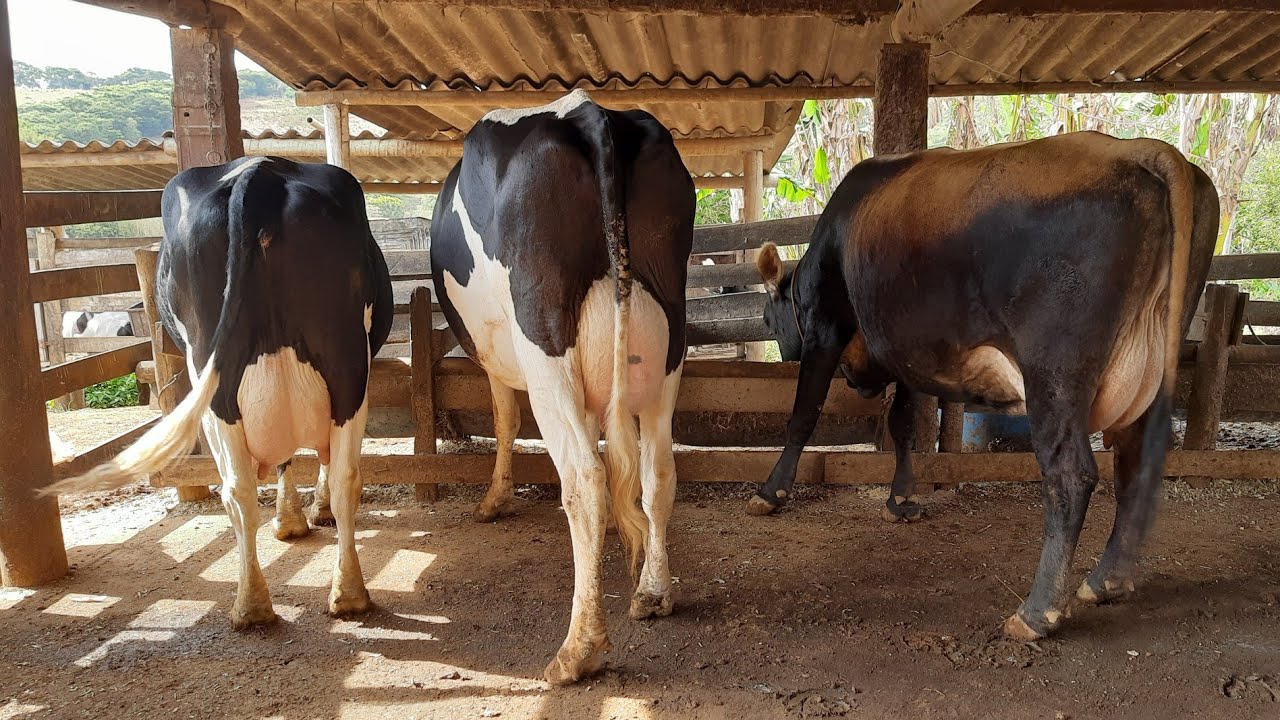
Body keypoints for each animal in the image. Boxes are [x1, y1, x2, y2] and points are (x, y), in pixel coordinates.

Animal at [46, 156, 394, 628]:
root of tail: (260, 173)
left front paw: (295, 517)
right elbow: (295, 459)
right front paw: (298, 517)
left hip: (242, 379)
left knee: (256, 487)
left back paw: (273, 602)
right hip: (337, 372)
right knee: (304, 482)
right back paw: (311, 598)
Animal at [430, 89, 694, 684]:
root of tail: (588, 113)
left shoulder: (499, 358)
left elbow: (504, 418)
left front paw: (494, 498)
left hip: (543, 339)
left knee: (585, 478)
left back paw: (578, 649)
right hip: (669, 343)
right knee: (658, 470)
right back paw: (652, 593)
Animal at [748, 132, 1218, 642]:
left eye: (768, 319)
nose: (782, 352)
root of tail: (1141, 149)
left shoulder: (824, 329)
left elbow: (804, 414)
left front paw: (770, 493)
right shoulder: (912, 355)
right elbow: (904, 424)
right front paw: (902, 500)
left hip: (1054, 372)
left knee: (1072, 473)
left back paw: (1038, 612)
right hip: (1150, 368)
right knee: (1133, 466)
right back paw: (1106, 581)